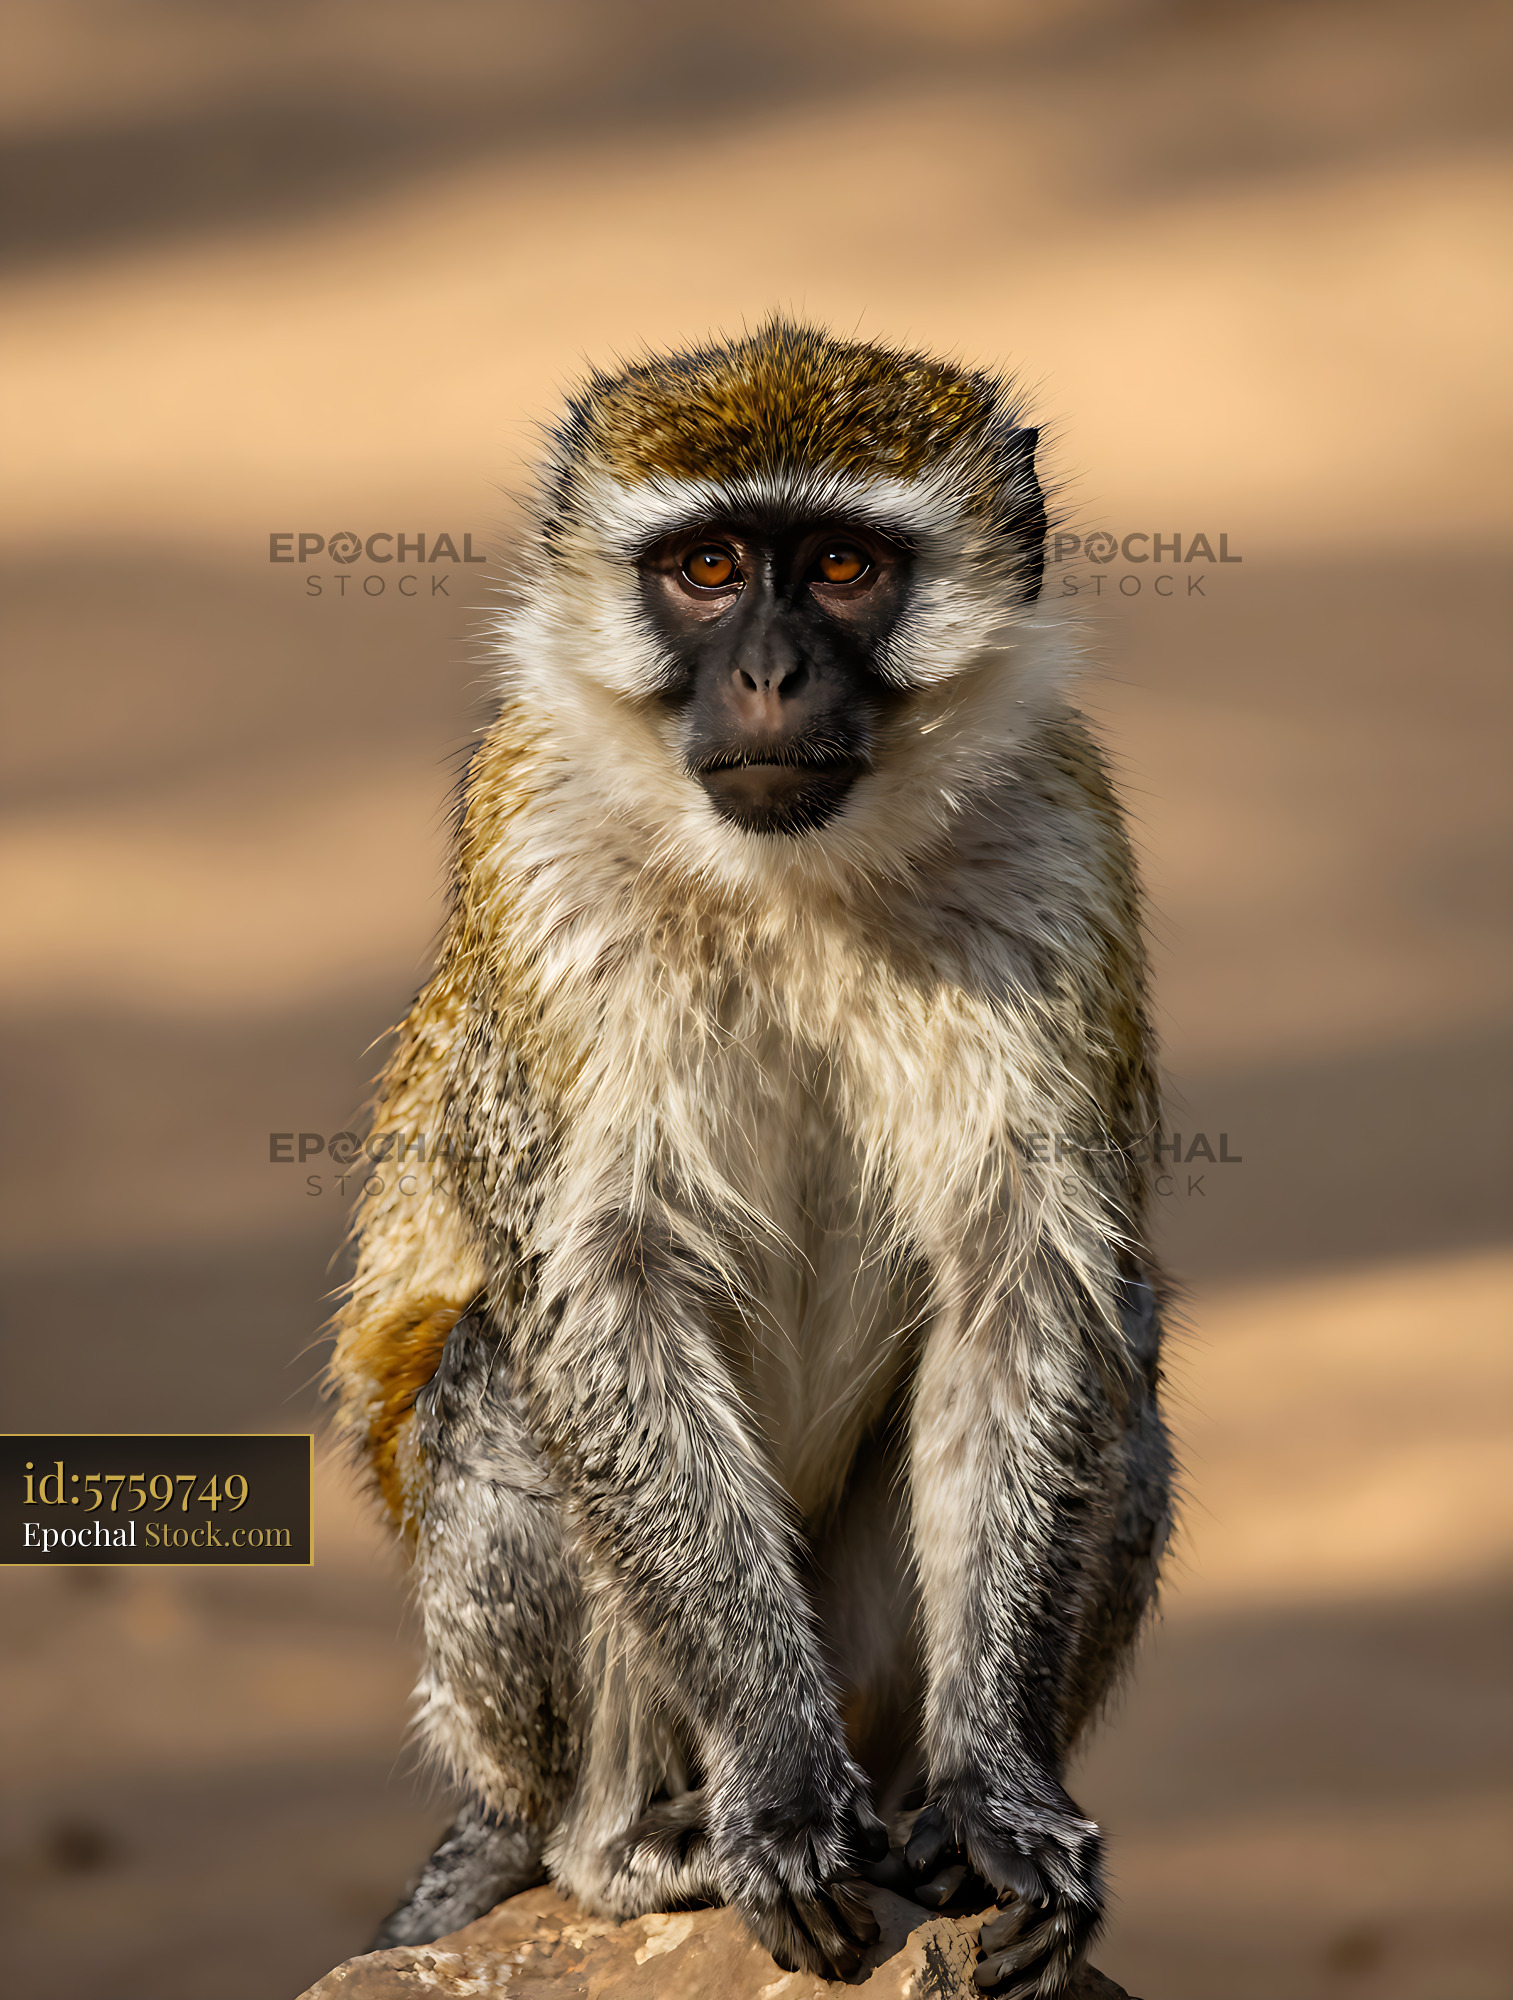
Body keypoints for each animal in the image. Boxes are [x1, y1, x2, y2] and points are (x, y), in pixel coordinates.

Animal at [329, 320, 1173, 1999]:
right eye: (709, 569)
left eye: (842, 567)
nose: (772, 673)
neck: (795, 880)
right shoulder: (536, 855)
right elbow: (602, 1309)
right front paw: (780, 1798)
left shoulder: (1063, 843)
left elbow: (1028, 1296)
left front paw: (999, 1797)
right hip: (497, 1707)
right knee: (501, 1379)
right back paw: (627, 1844)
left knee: (1125, 1353)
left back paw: (919, 1819)